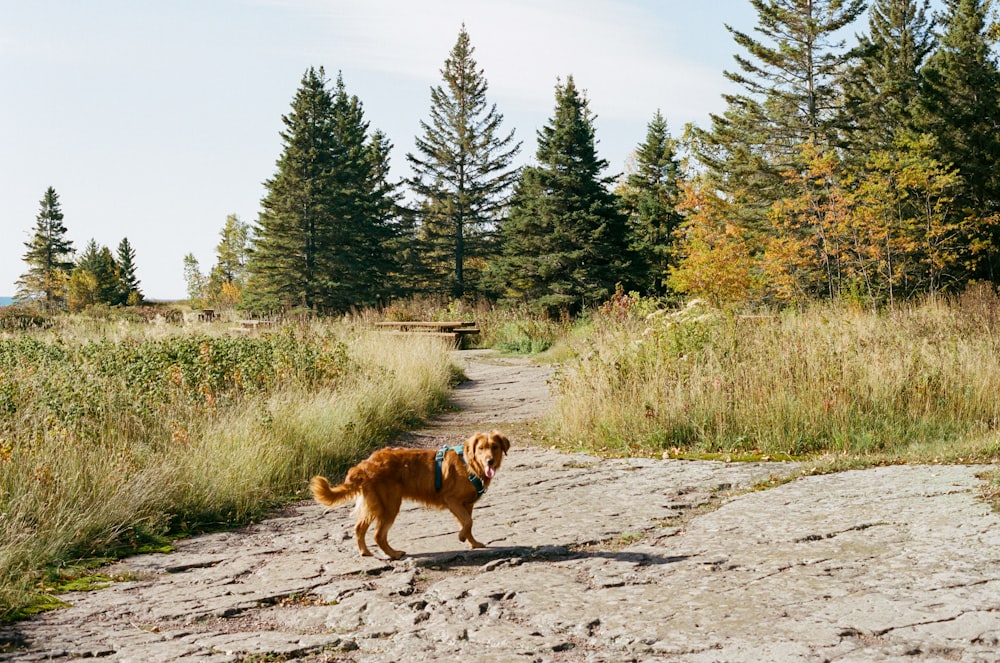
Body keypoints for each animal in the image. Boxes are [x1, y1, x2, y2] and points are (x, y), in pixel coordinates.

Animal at [308, 430, 512, 560]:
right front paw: (462, 537)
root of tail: (364, 465)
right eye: (481, 448)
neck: (469, 464)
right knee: (378, 535)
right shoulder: (452, 499)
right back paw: (394, 554)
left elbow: (468, 523)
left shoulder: (467, 504)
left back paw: (365, 552)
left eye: (494, 447)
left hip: (375, 504)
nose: (490, 461)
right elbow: (468, 522)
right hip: (390, 505)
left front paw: (473, 543)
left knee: (359, 528)